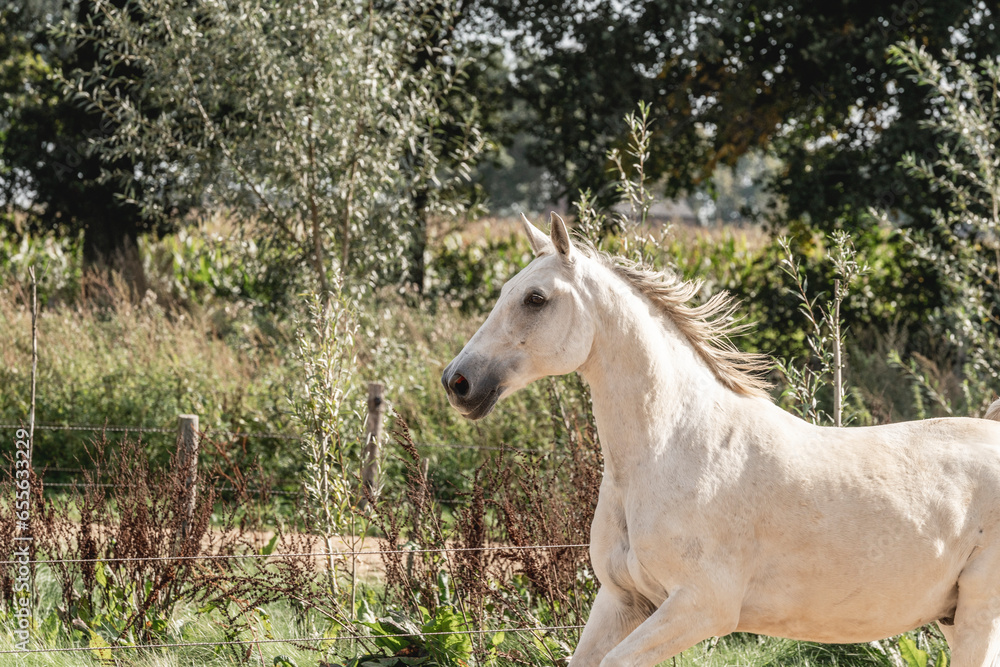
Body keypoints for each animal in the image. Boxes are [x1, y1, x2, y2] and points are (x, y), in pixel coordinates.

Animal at [441, 213, 1000, 667]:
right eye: (505, 290)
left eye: (535, 299)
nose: (458, 382)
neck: (670, 453)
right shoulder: (621, 601)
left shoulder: (700, 608)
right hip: (954, 617)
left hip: (979, 613)